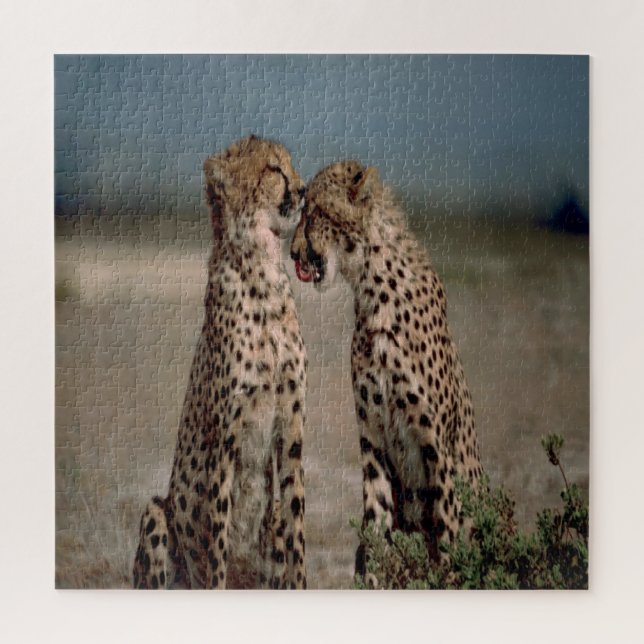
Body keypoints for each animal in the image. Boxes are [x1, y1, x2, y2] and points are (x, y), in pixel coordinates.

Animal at [133, 135, 308, 590]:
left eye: (291, 165)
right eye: (273, 169)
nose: (303, 191)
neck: (264, 272)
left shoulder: (292, 430)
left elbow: (297, 528)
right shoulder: (224, 442)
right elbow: (217, 545)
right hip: (156, 513)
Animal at [290, 160, 482, 577]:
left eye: (314, 212)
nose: (293, 253)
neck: (371, 288)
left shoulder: (436, 448)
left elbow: (446, 532)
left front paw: (446, 571)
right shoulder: (373, 437)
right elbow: (376, 524)